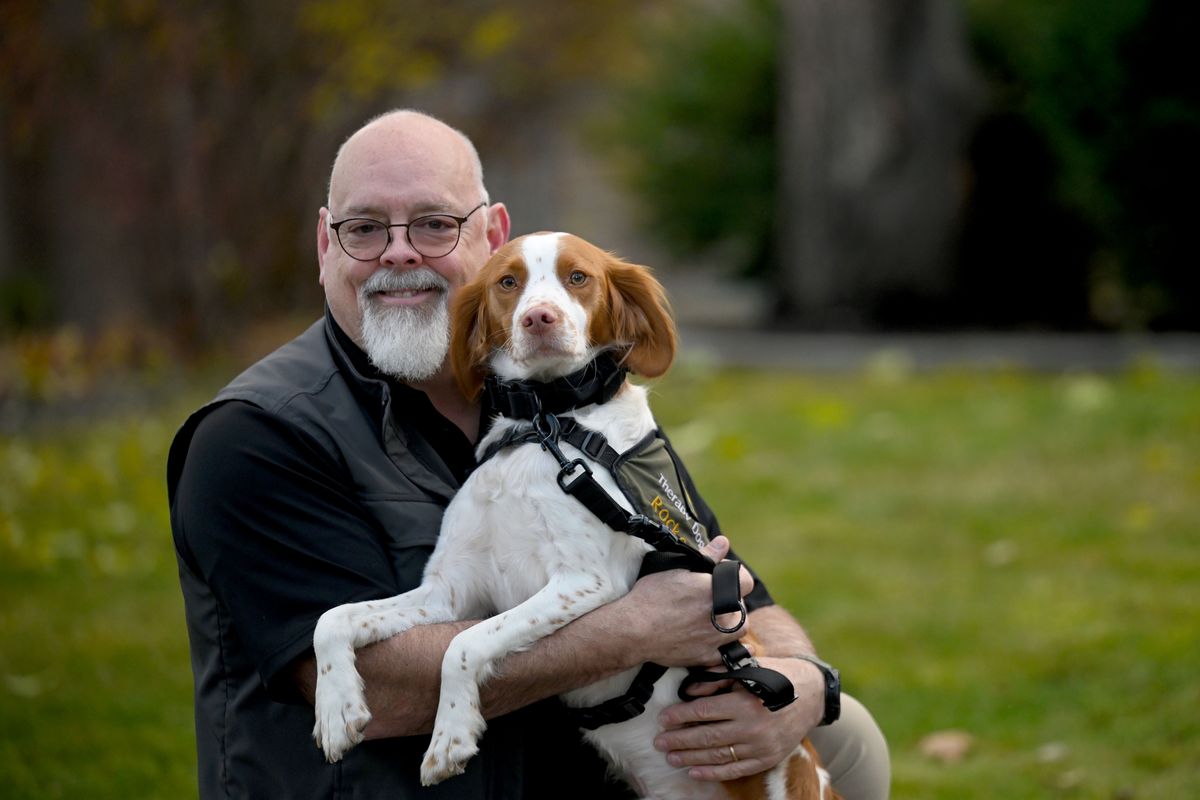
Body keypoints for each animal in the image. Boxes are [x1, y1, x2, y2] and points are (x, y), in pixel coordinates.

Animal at [312, 232, 835, 800]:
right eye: (508, 281)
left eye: (578, 277)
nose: (538, 318)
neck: (546, 425)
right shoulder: (450, 590)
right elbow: (334, 618)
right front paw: (337, 711)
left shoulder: (583, 582)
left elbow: (465, 642)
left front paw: (449, 737)